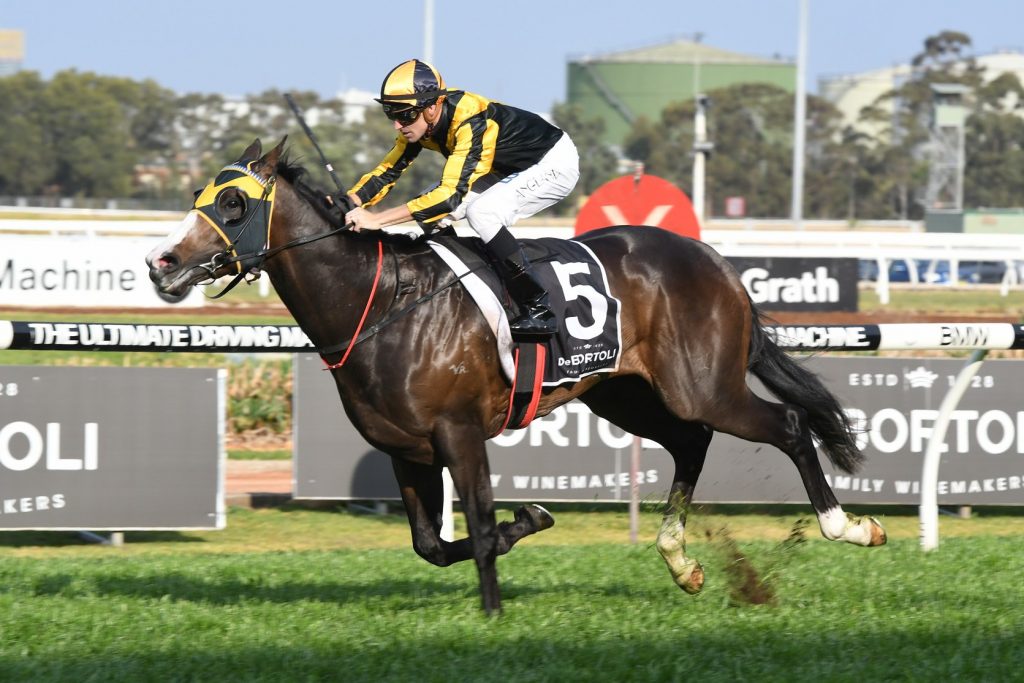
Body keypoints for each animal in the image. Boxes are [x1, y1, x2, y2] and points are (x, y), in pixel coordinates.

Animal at [146, 138, 886, 614]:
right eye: (200, 194)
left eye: (235, 203)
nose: (162, 262)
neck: (380, 302)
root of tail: (713, 257)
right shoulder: (407, 449)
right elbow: (431, 543)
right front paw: (524, 521)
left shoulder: (460, 431)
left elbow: (475, 521)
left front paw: (496, 607)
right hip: (623, 391)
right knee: (690, 441)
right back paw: (682, 563)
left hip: (704, 384)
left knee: (786, 424)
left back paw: (848, 527)